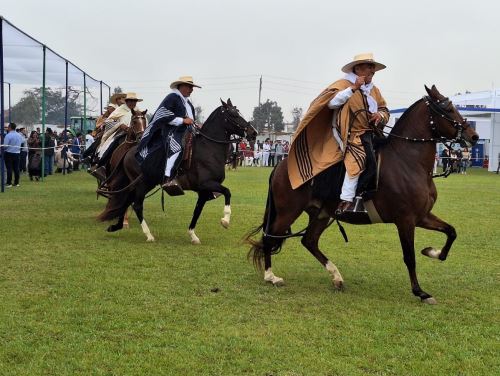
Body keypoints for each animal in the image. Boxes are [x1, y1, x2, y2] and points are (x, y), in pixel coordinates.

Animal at [97, 98, 256, 242]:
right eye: (233, 114)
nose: (253, 132)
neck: (208, 149)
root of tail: (129, 150)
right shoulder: (207, 184)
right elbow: (227, 192)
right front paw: (225, 221)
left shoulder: (203, 191)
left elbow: (197, 211)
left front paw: (193, 235)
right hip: (143, 184)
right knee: (136, 204)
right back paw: (148, 235)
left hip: (140, 184)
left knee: (127, 200)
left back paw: (116, 226)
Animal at [246, 86, 480, 304]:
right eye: (447, 108)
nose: (474, 136)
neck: (408, 162)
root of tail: (282, 165)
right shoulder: (405, 220)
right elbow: (409, 257)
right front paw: (420, 292)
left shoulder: (421, 216)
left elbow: (451, 232)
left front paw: (432, 251)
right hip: (288, 212)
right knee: (269, 237)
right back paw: (271, 276)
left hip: (321, 214)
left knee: (309, 241)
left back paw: (337, 278)